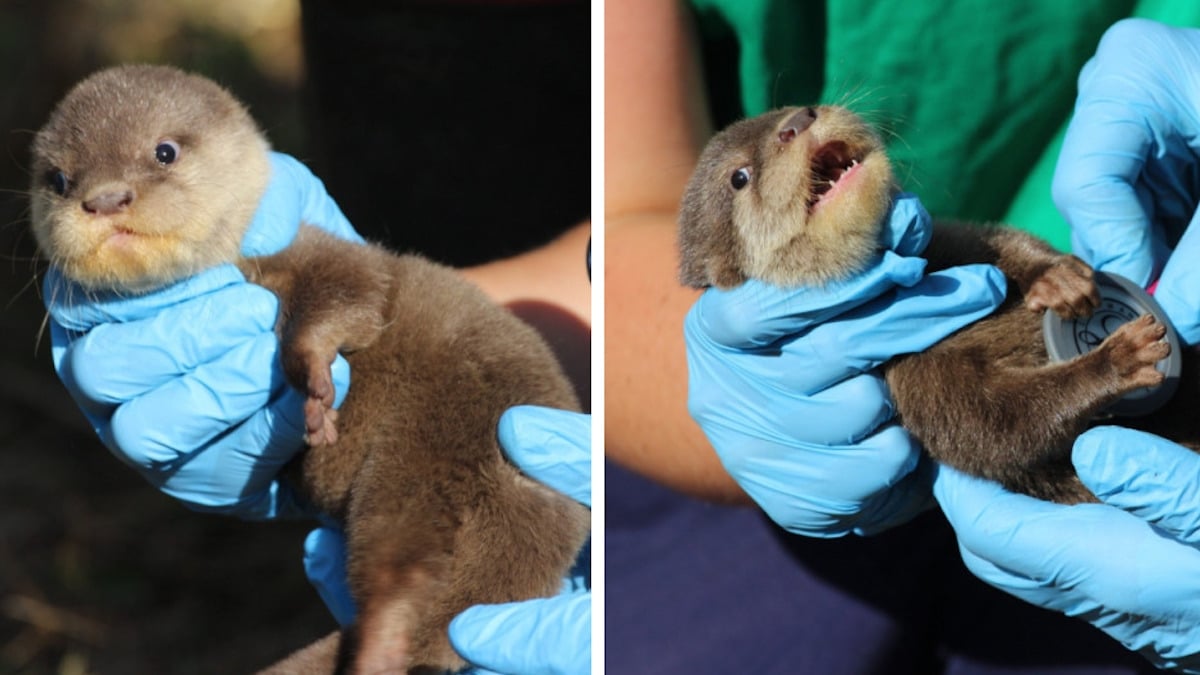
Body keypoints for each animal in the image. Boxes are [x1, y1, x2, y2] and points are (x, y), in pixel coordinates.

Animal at [30, 64, 588, 672]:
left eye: (164, 151)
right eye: (59, 179)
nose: (105, 199)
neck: (246, 265)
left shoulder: (332, 258)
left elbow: (351, 300)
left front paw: (316, 384)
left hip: (435, 449)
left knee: (402, 561)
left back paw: (381, 643)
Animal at [681, 105, 1195, 502]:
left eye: (785, 108)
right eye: (739, 177)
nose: (797, 120)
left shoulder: (950, 239)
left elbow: (1003, 242)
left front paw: (1058, 279)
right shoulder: (916, 381)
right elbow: (997, 426)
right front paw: (1121, 357)